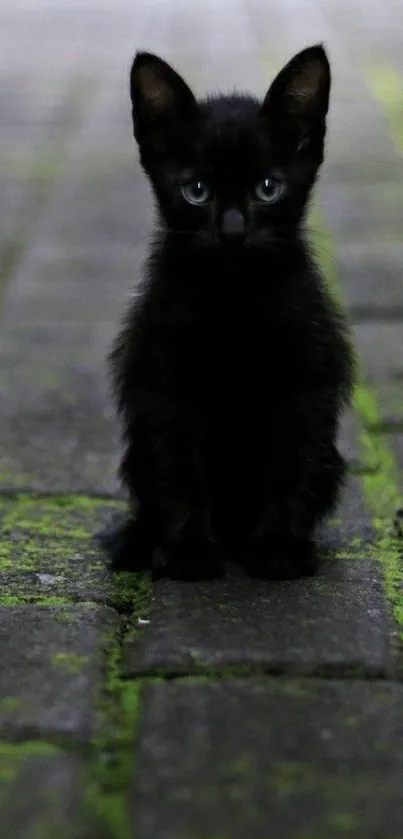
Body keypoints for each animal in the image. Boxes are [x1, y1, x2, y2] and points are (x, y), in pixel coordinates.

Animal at [105, 42, 356, 580]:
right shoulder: (163, 384)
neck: (234, 298)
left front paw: (281, 545)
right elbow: (178, 468)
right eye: (196, 191)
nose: (234, 230)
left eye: (268, 187)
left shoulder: (305, 381)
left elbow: (291, 464)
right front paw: (189, 549)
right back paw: (139, 543)